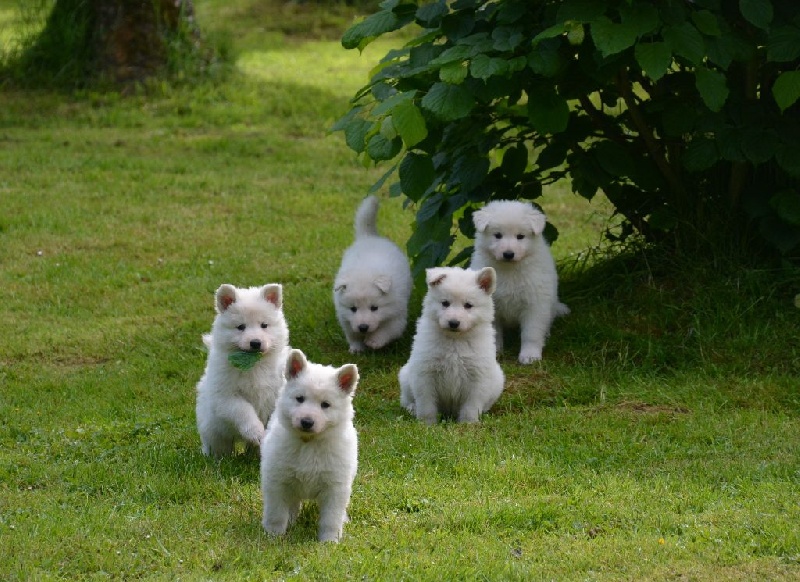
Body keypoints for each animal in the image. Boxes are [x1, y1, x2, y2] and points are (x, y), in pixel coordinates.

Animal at [195, 286, 290, 458]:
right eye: (240, 327)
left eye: (264, 325)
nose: (255, 342)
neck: (254, 364)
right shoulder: (226, 396)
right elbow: (243, 411)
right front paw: (256, 432)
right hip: (213, 429)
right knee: (217, 444)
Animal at [260, 350, 358, 544]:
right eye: (300, 399)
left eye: (325, 405)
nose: (306, 422)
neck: (309, 443)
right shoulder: (277, 481)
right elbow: (276, 513)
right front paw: (274, 535)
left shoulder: (335, 487)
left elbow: (331, 518)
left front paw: (329, 541)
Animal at [334, 196, 412, 354]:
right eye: (353, 308)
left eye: (374, 308)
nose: (363, 327)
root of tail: (369, 237)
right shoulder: (346, 318)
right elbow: (353, 335)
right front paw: (357, 348)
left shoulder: (396, 315)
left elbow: (386, 330)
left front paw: (374, 341)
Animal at [398, 266, 504, 426]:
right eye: (445, 303)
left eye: (468, 305)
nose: (453, 323)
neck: (455, 341)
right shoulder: (425, 373)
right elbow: (427, 404)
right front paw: (427, 425)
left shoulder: (477, 376)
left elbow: (471, 406)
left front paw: (468, 424)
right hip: (405, 376)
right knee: (406, 400)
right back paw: (412, 409)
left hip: (497, 381)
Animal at [468, 201, 568, 364]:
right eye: (498, 235)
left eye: (520, 236)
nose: (508, 254)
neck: (510, 270)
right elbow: (494, 333)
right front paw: (494, 352)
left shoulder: (535, 304)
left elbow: (531, 333)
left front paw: (530, 356)